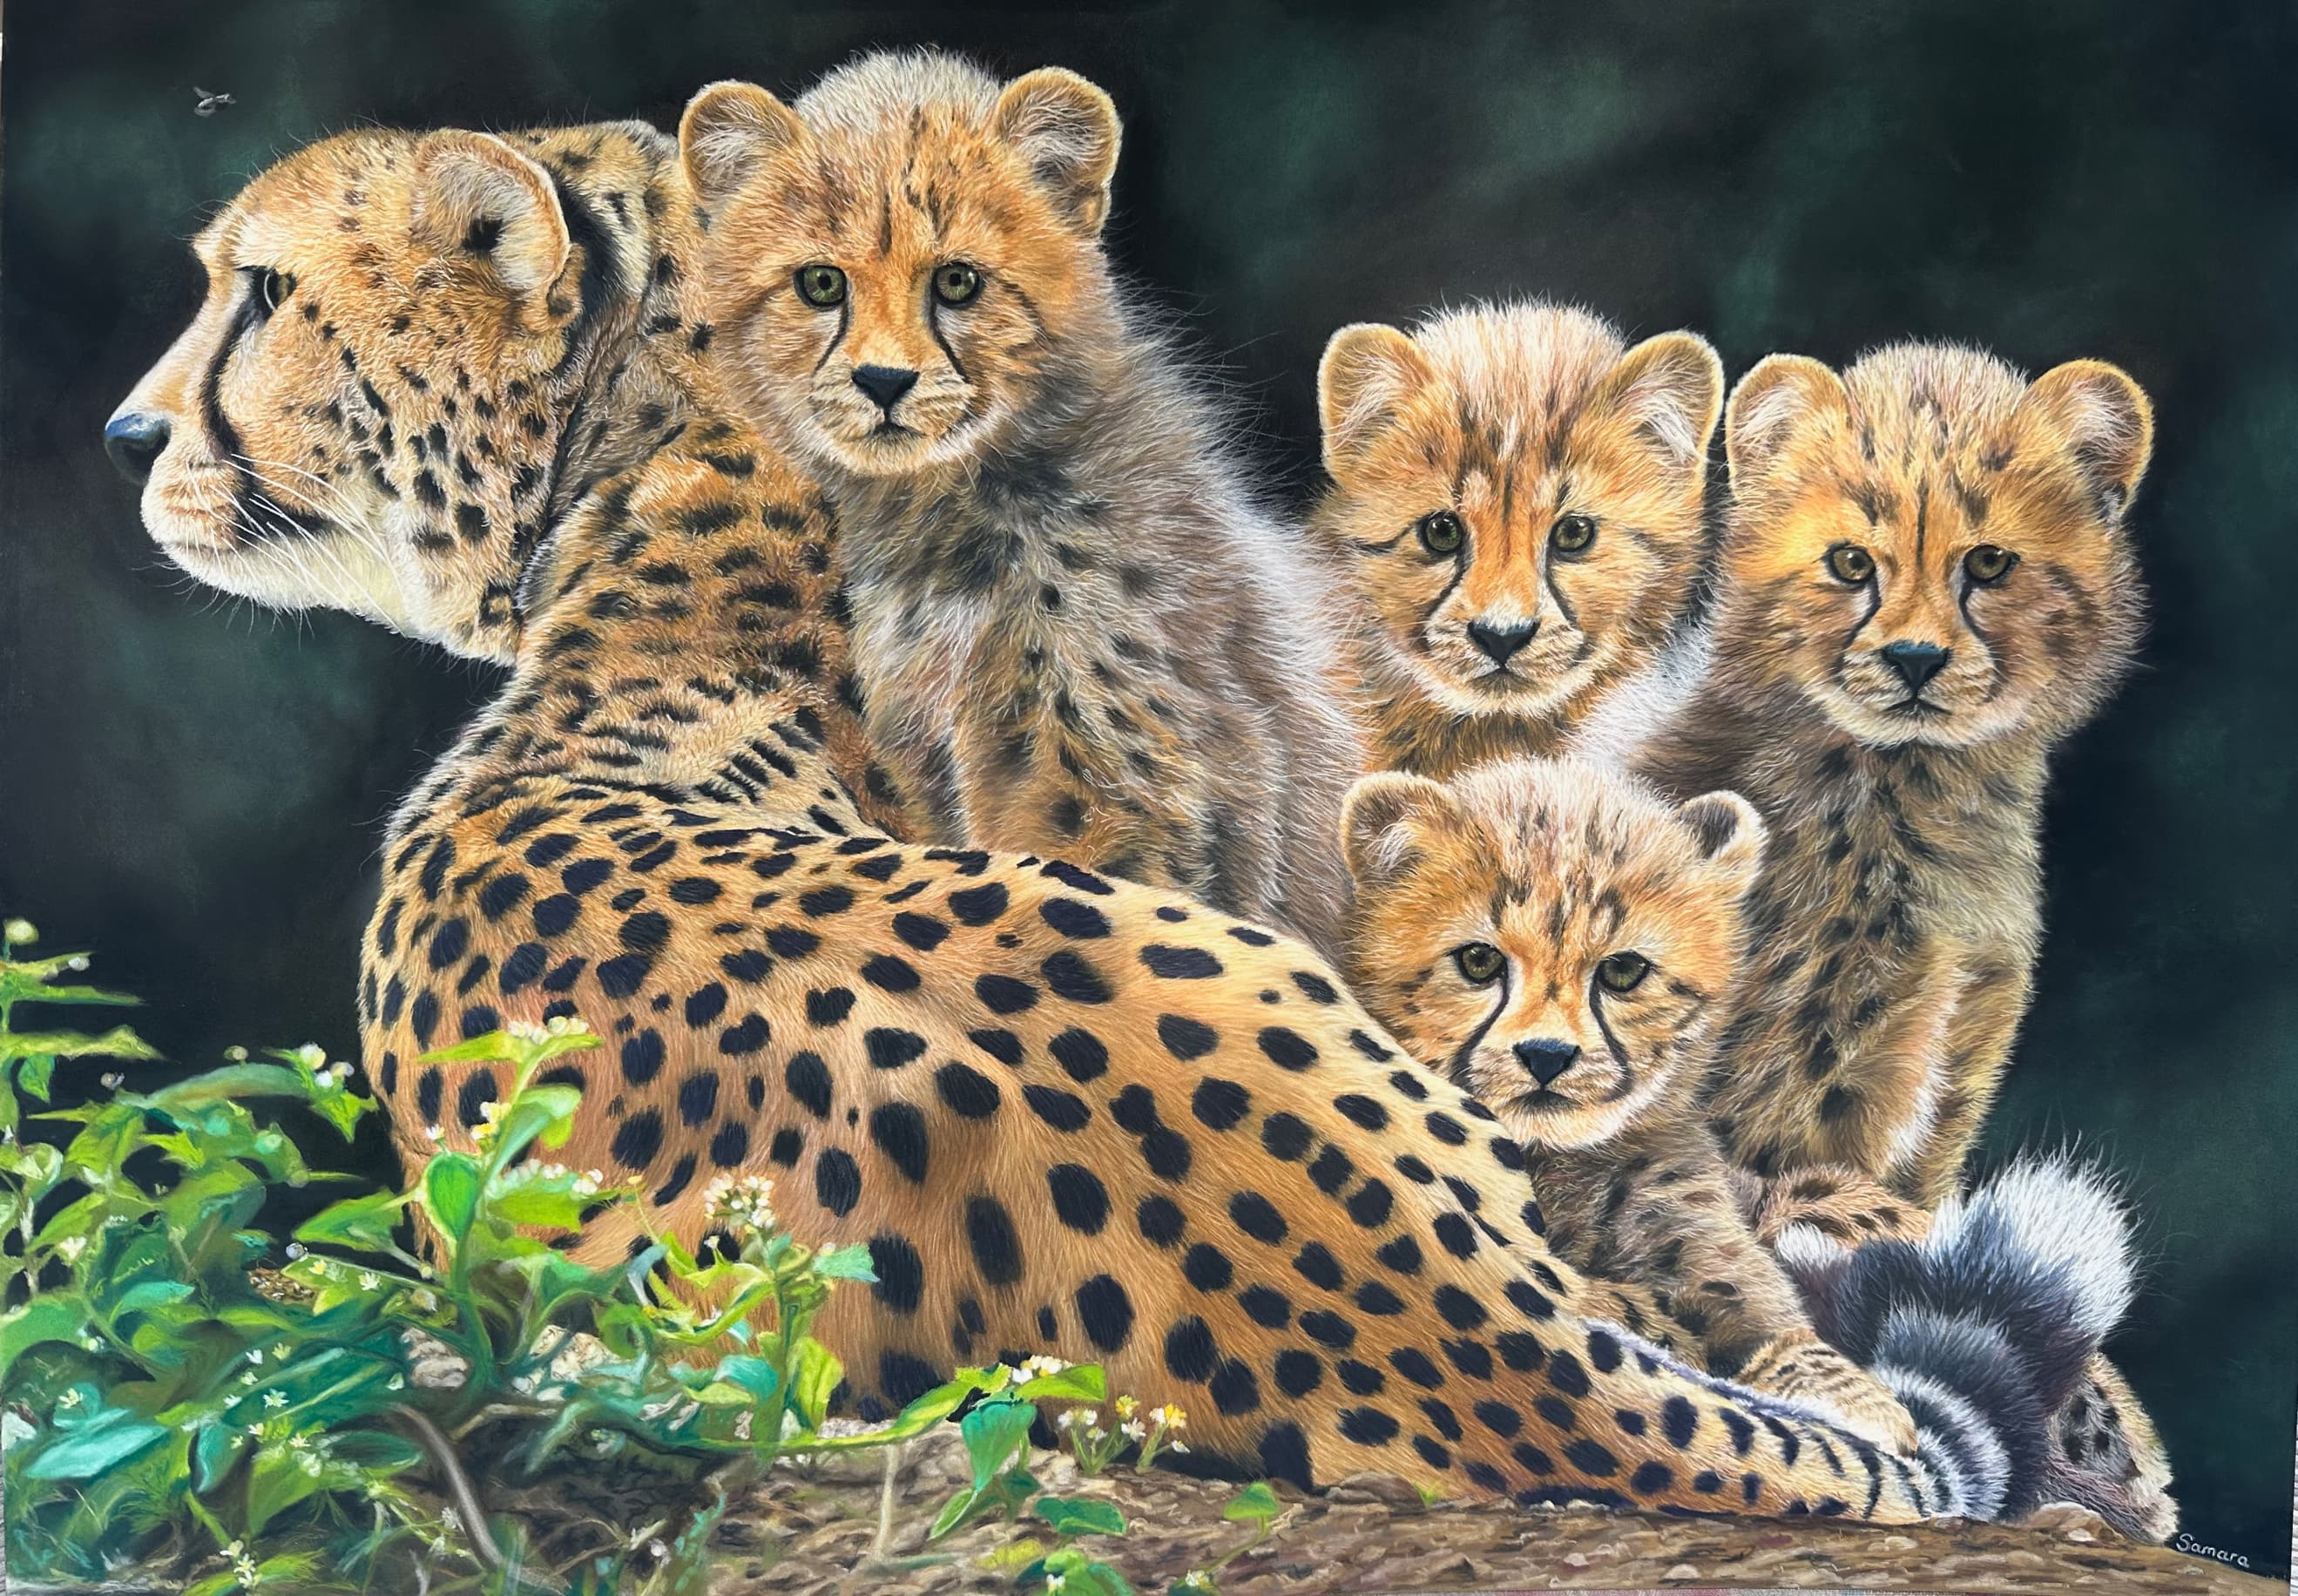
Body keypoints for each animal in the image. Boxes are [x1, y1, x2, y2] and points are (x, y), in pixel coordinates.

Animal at [1338, 756, 1918, 1451]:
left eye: (1622, 972)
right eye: (1478, 960)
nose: (1546, 1056)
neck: (1554, 1162)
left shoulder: (1718, 1262)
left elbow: (1773, 1326)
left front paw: (1865, 1403)